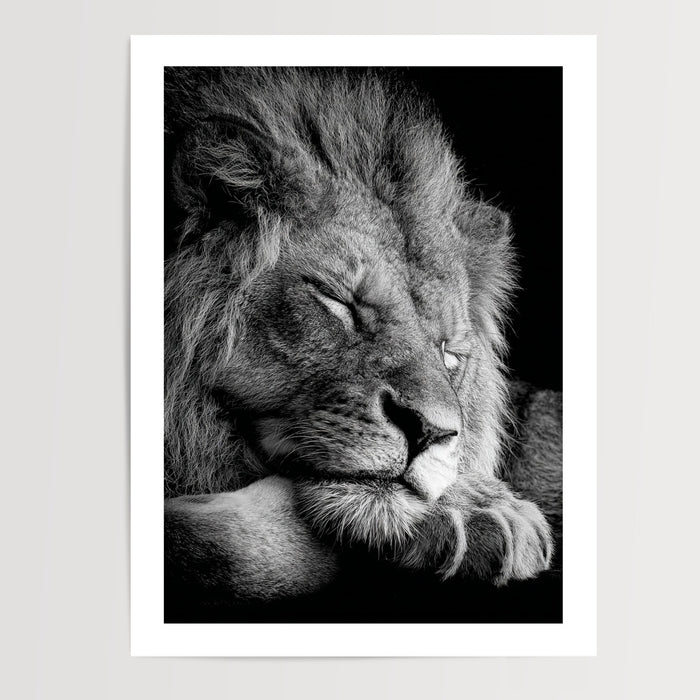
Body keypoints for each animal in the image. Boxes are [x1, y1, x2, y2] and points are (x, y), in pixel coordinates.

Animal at [163, 68, 562, 612]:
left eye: (448, 353)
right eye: (338, 302)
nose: (428, 433)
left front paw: (476, 505)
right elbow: (218, 544)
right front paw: (481, 509)